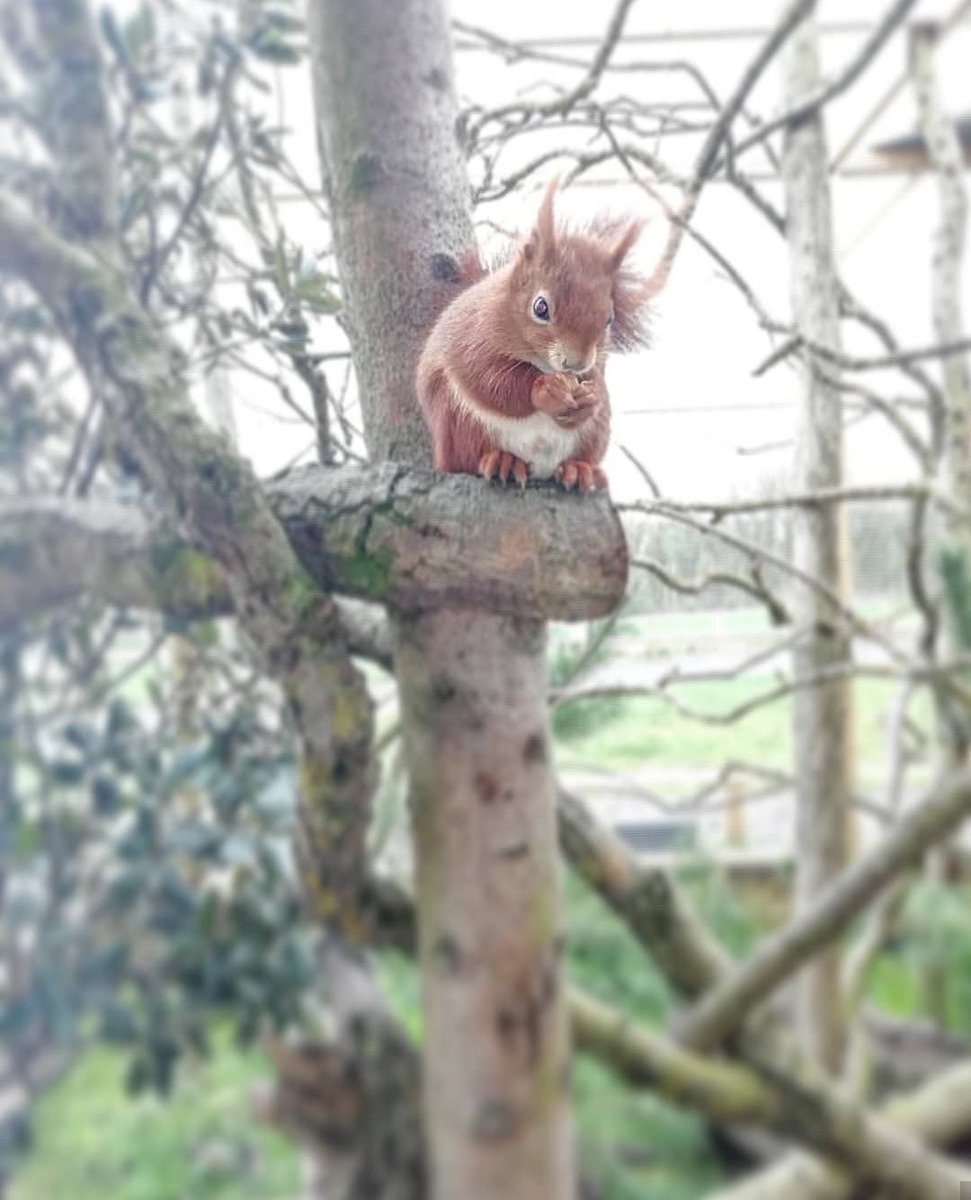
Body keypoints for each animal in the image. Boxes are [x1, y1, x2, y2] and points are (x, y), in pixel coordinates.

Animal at [416, 178, 650, 492]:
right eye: (541, 307)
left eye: (609, 318)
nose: (576, 363)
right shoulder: (472, 334)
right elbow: (488, 379)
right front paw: (543, 390)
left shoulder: (597, 365)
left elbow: (595, 383)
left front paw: (589, 398)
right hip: (458, 421)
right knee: (468, 458)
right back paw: (502, 461)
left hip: (596, 433)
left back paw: (580, 469)